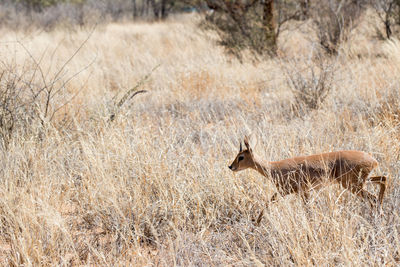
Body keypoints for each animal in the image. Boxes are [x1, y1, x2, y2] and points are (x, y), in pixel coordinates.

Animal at [230, 135, 386, 225]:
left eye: (241, 157)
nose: (231, 166)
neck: (273, 168)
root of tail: (373, 160)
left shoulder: (289, 191)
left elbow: (268, 203)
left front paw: (256, 223)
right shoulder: (300, 192)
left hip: (353, 185)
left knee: (373, 197)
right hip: (361, 182)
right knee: (383, 179)